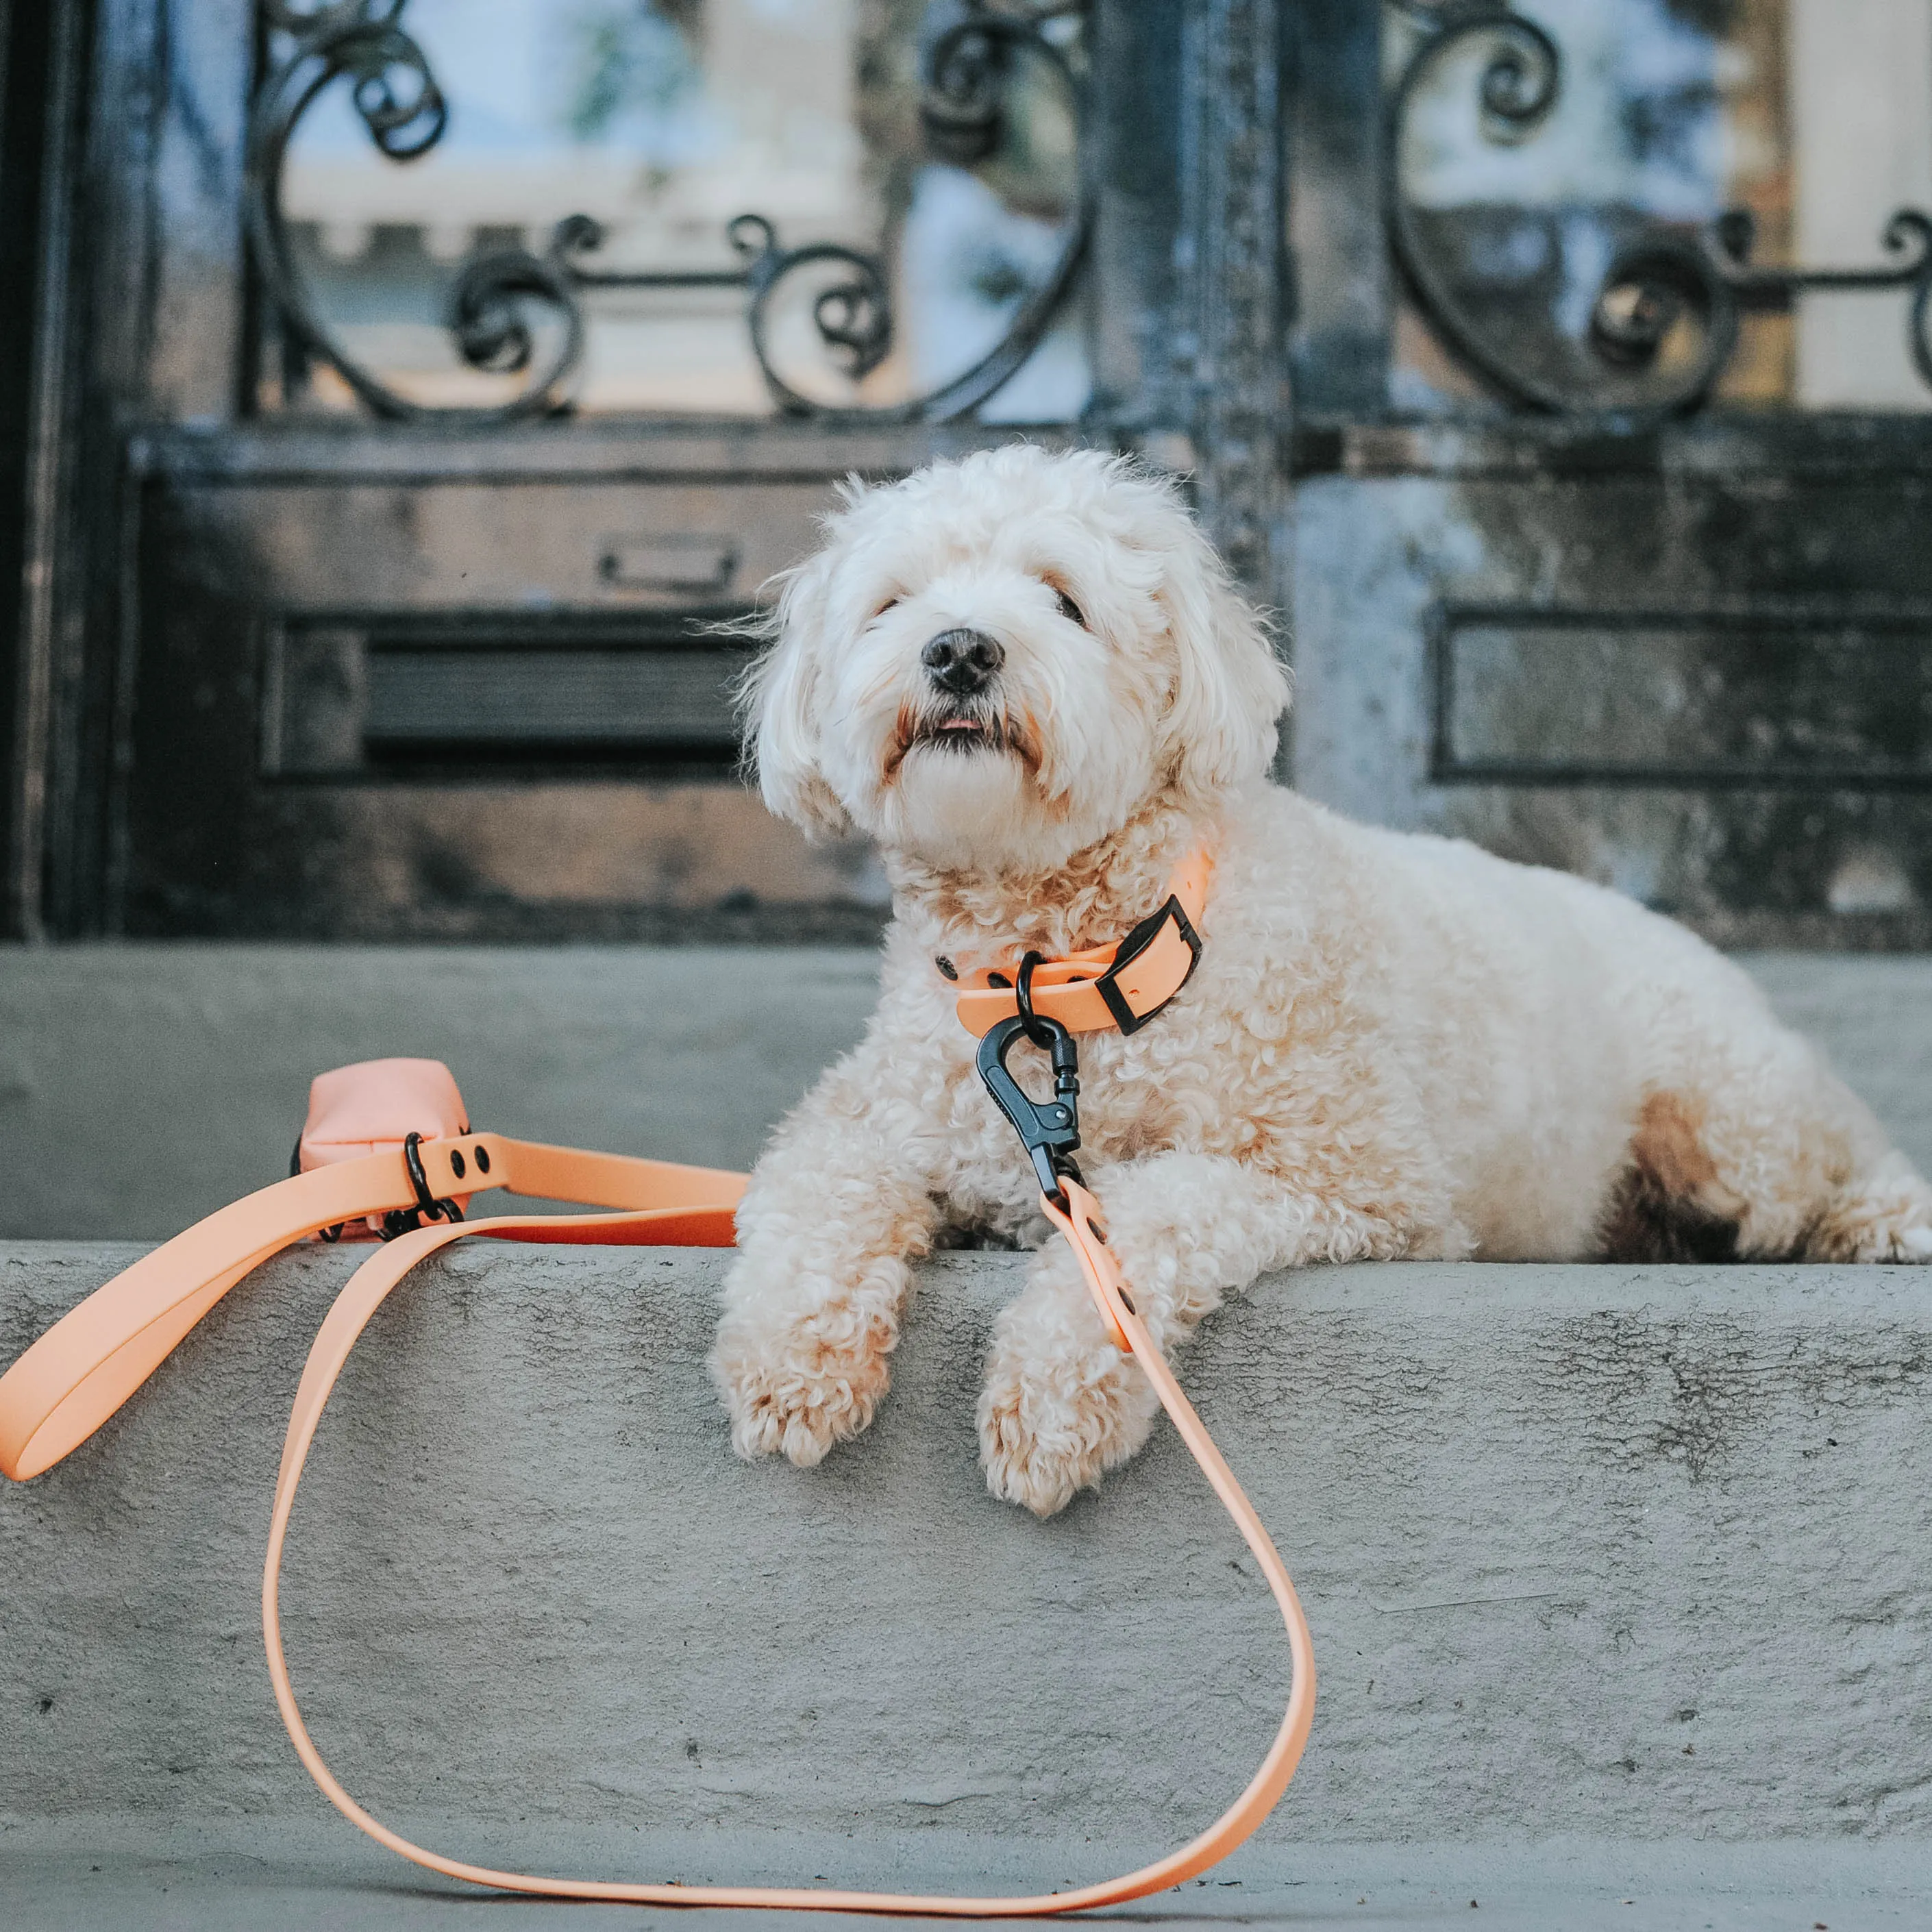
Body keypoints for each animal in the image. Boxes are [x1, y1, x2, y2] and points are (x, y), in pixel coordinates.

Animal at [710, 444, 1932, 1514]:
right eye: (893, 604)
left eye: (1064, 601)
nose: (959, 651)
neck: (1061, 977)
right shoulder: (881, 1116)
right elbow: (815, 1192)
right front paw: (790, 1361)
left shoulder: (1349, 1177)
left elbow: (1145, 1223)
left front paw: (1051, 1403)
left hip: (1727, 1119)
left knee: (1824, 1162)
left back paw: (1879, 1219)